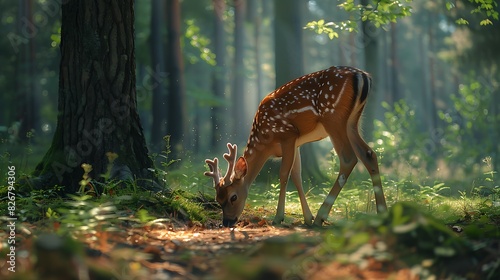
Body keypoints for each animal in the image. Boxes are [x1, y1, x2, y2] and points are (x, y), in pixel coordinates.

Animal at [205, 66, 388, 228]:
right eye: (217, 199)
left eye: (233, 197)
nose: (227, 222)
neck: (265, 141)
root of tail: (363, 75)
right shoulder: (297, 144)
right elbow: (297, 176)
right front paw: (307, 217)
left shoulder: (287, 135)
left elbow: (284, 174)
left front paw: (279, 217)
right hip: (352, 121)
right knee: (369, 154)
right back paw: (382, 213)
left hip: (333, 116)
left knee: (348, 159)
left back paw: (321, 217)